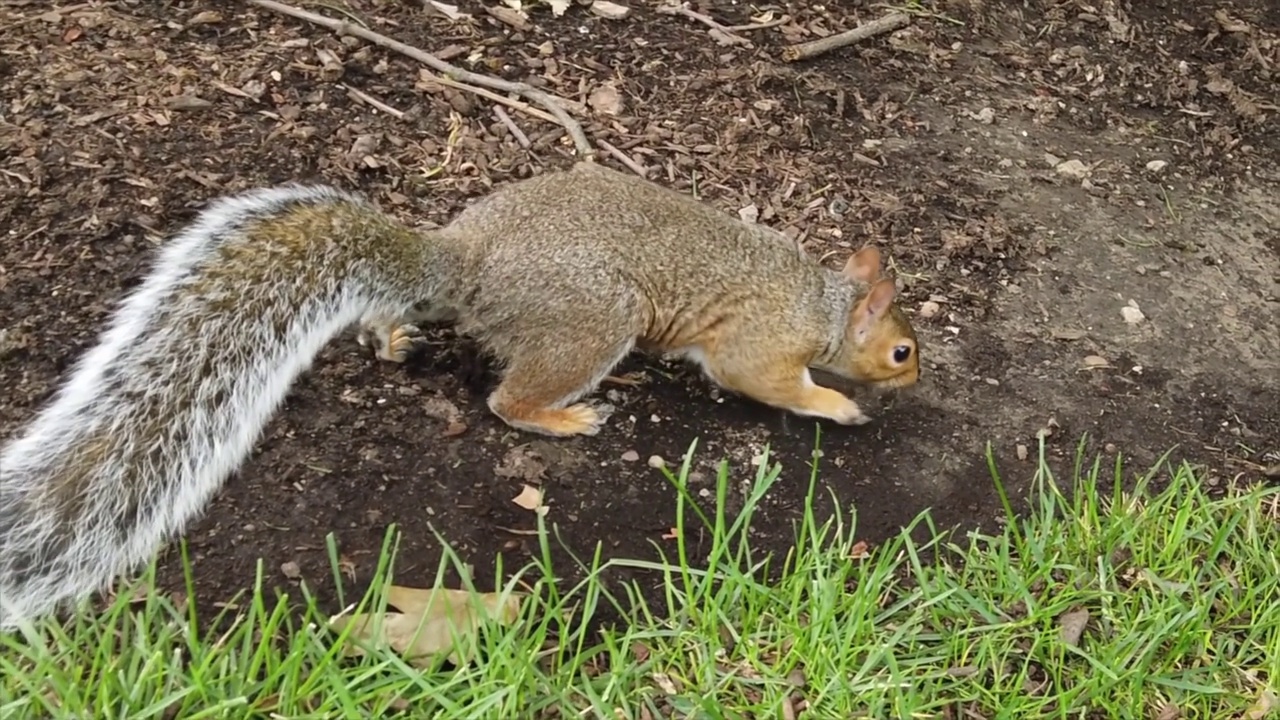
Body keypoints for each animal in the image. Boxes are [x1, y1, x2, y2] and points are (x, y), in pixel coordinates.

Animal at [0, 161, 921, 627]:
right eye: (903, 350)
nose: (917, 376)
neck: (825, 304)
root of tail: (463, 259)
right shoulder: (760, 343)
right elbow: (758, 380)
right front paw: (838, 406)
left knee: (392, 313)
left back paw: (390, 336)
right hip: (591, 320)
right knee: (506, 404)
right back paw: (566, 415)